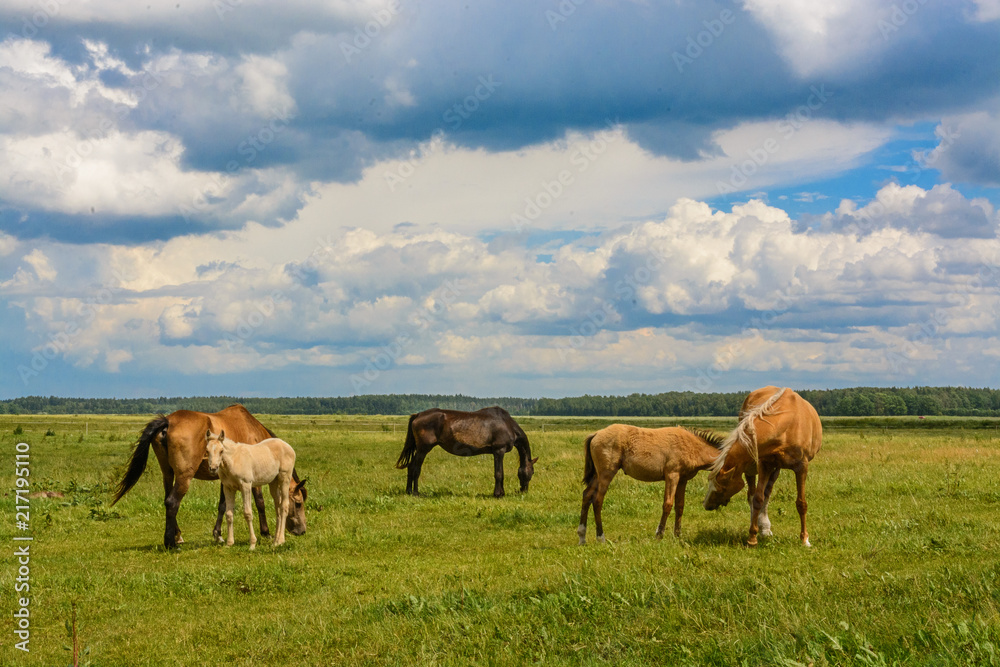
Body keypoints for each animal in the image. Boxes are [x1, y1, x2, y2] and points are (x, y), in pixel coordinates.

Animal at [108, 404, 304, 552]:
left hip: (168, 473)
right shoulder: (252, 479)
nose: (301, 531)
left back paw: (177, 536)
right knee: (172, 502)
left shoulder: (225, 480)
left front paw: (218, 535)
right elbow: (260, 503)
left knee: (167, 500)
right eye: (299, 503)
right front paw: (266, 533)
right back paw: (170, 543)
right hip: (184, 477)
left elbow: (223, 506)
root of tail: (168, 422)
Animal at [396, 404, 540, 498]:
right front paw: (498, 494)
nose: (523, 491)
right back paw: (416, 493)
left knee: (410, 466)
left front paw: (501, 493)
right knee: (415, 468)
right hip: (423, 449)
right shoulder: (499, 451)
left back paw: (409, 491)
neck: (507, 424)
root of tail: (418, 415)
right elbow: (499, 473)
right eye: (532, 472)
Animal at [580, 426, 728, 544]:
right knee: (597, 500)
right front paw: (659, 535)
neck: (691, 445)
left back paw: (582, 537)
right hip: (606, 474)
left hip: (597, 476)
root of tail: (596, 434)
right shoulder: (672, 476)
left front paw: (677, 536)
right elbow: (667, 504)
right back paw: (601, 537)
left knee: (587, 495)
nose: (721, 504)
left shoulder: (682, 480)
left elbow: (680, 506)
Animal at [704, 386, 820, 548]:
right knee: (754, 495)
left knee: (768, 492)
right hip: (754, 468)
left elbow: (801, 503)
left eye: (721, 487)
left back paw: (765, 528)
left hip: (775, 469)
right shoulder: (764, 464)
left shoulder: (801, 467)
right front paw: (752, 537)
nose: (706, 504)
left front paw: (805, 540)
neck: (788, 425)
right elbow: (757, 499)